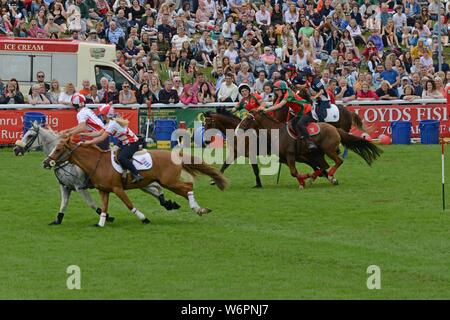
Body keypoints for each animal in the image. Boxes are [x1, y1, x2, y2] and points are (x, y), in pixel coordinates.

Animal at [13, 122, 181, 225]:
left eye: (29, 135)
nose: (16, 149)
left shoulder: (80, 187)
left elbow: (92, 204)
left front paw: (108, 217)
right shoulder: (65, 187)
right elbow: (63, 204)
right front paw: (57, 220)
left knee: (157, 189)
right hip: (141, 182)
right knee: (156, 190)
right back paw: (168, 204)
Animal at [42, 136, 229, 226]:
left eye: (58, 149)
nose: (45, 162)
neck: (97, 163)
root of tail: (174, 154)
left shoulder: (118, 189)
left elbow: (129, 205)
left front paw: (143, 218)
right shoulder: (104, 190)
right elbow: (104, 207)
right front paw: (101, 223)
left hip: (169, 182)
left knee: (188, 187)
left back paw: (198, 209)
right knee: (181, 189)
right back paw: (196, 208)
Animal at [237, 110, 382, 188]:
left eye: (248, 118)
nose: (238, 128)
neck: (278, 133)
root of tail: (336, 129)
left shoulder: (291, 155)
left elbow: (294, 172)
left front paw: (304, 179)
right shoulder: (288, 157)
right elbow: (296, 171)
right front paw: (304, 180)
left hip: (329, 150)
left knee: (337, 161)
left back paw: (326, 175)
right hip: (320, 153)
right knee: (324, 165)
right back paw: (316, 176)